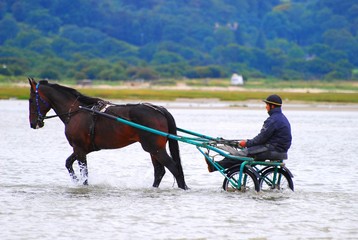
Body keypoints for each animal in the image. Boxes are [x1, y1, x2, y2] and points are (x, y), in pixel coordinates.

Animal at [28, 77, 189, 189]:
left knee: (174, 168)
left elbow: (84, 173)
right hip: (153, 150)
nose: (33, 123)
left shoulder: (79, 149)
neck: (76, 111)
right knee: (159, 171)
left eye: (30, 100)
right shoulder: (83, 149)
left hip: (155, 149)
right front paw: (75, 181)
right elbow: (68, 163)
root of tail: (159, 109)